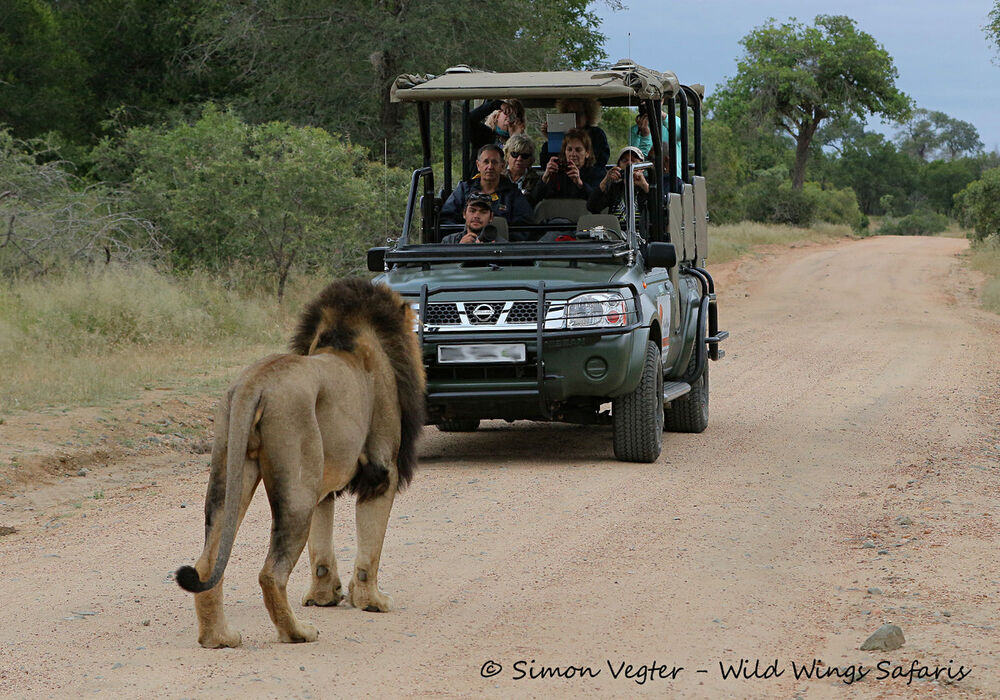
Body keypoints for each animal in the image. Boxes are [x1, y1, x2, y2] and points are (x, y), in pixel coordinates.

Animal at [177, 276, 426, 648]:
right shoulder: (382, 472)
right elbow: (370, 548)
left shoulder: (323, 486)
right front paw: (371, 601)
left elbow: (321, 549)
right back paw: (297, 632)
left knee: (207, 563)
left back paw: (218, 637)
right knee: (271, 573)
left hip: (232, 472)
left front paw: (325, 596)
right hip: (297, 490)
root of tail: (255, 383)